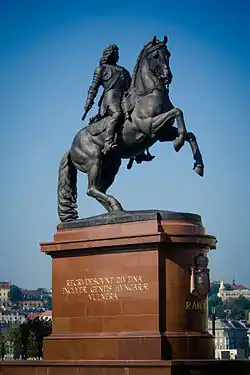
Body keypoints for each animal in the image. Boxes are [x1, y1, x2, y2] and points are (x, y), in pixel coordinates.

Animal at [57, 36, 204, 222]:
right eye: (156, 55)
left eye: (168, 54)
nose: (167, 76)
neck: (148, 93)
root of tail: (70, 148)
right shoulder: (150, 126)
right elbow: (177, 112)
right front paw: (178, 143)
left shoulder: (163, 133)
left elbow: (189, 133)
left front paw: (198, 165)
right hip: (94, 160)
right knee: (91, 189)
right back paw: (116, 206)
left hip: (111, 166)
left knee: (99, 189)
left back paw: (116, 210)